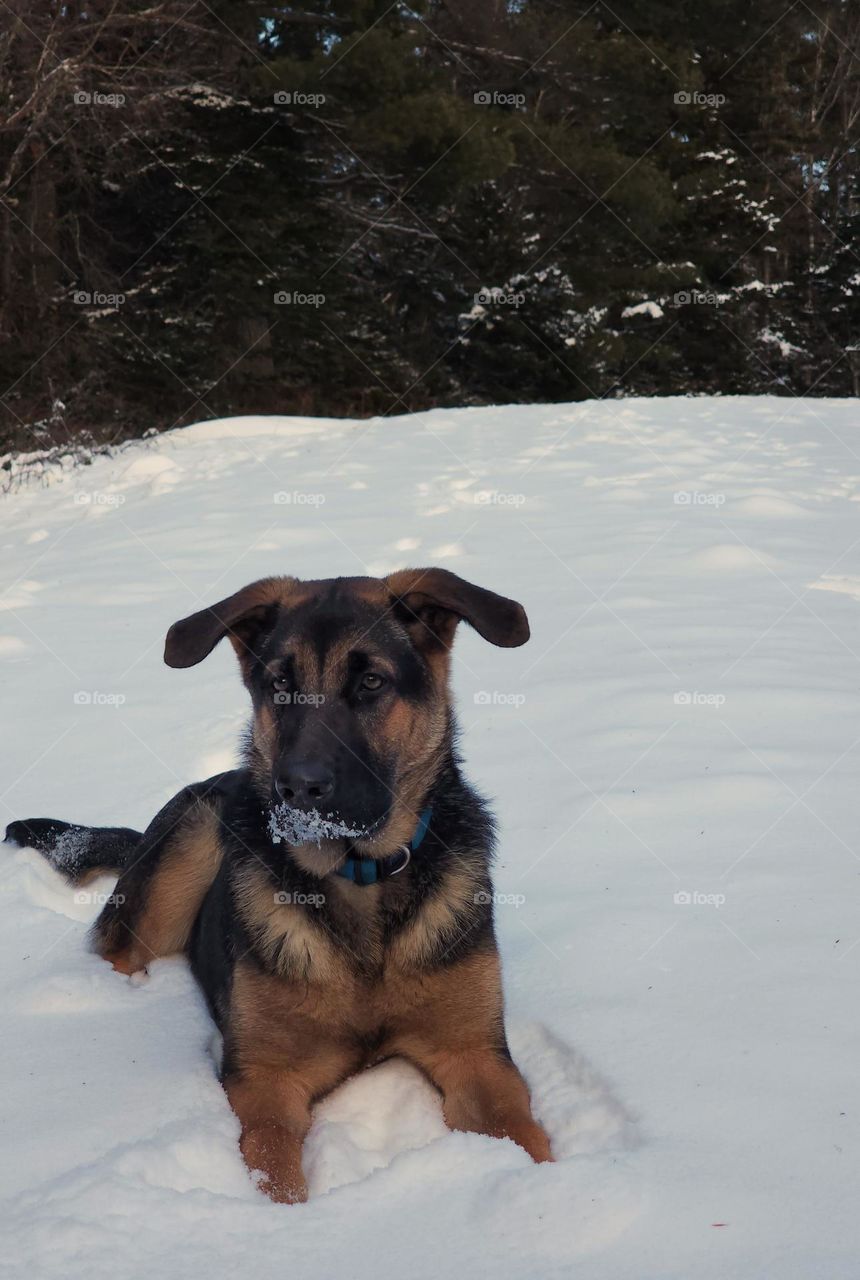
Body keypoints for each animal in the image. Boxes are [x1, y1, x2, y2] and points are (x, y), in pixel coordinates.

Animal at [5, 570, 550, 1198]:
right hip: (192, 838)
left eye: (370, 682)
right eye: (280, 685)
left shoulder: (477, 1056)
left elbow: (523, 1136)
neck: (358, 877)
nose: (296, 790)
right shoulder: (265, 1081)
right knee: (119, 951)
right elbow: (276, 1173)